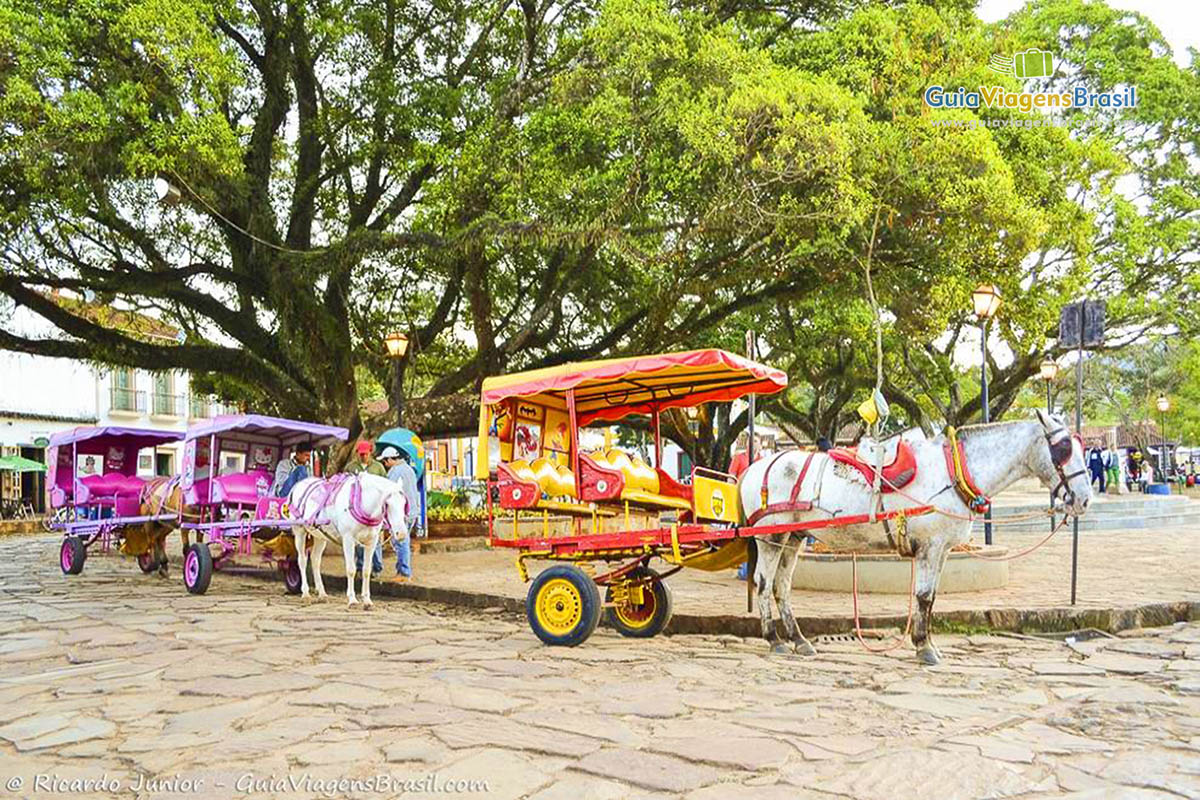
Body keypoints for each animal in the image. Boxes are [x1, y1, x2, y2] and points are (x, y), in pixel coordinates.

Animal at [288, 472, 410, 609]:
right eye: (387, 504)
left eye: (404, 504)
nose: (401, 534)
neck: (360, 502)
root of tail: (298, 484)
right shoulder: (348, 539)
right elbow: (351, 570)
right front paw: (352, 600)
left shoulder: (371, 542)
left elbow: (366, 570)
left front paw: (367, 600)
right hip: (299, 531)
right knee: (302, 560)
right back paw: (305, 593)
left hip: (320, 536)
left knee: (315, 560)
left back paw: (322, 593)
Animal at [734, 410, 1094, 666]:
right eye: (1063, 448)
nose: (1084, 499)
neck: (953, 472)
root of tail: (753, 469)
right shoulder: (930, 547)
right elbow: (922, 596)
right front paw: (924, 647)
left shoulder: (943, 549)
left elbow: (930, 597)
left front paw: (926, 643)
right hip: (770, 538)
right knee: (764, 584)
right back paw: (774, 639)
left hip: (792, 537)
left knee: (781, 587)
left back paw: (799, 640)